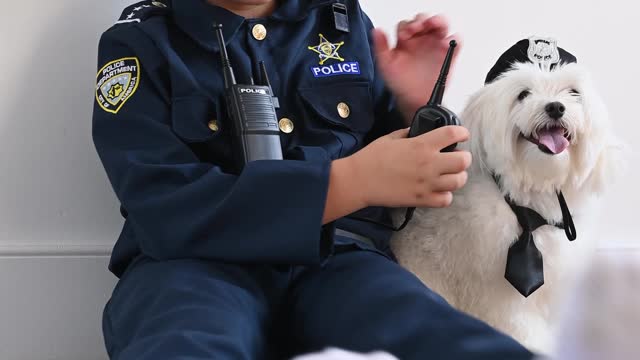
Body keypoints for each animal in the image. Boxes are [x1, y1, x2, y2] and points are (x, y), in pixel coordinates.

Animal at [392, 38, 624, 352]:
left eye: (573, 92)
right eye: (523, 94)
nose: (555, 107)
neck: (529, 202)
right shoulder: (497, 296)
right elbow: (517, 325)